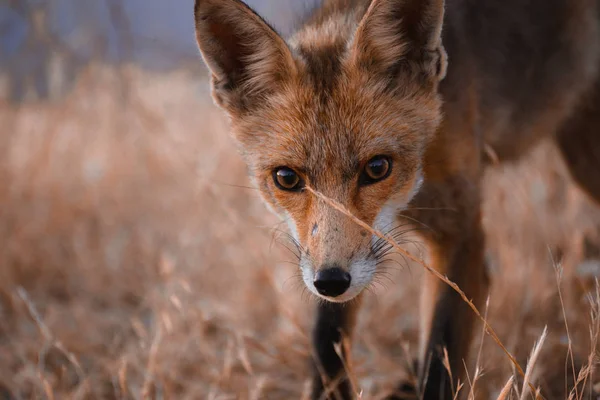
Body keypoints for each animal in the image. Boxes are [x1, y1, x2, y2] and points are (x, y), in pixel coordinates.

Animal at [192, 0, 600, 396]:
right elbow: (328, 347)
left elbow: (439, 362)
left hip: (584, 164)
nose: (330, 282)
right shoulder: (337, 258)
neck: (414, 187)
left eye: (377, 168)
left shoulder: (460, 233)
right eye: (287, 178)